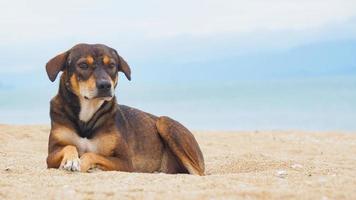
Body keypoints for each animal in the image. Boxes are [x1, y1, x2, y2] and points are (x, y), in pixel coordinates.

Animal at [45, 43, 206, 175]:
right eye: (83, 65)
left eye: (111, 65)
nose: (105, 85)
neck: (87, 115)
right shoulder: (51, 155)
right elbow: (69, 147)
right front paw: (72, 160)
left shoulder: (125, 162)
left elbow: (92, 154)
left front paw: (83, 163)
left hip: (164, 122)